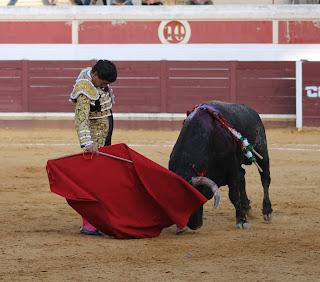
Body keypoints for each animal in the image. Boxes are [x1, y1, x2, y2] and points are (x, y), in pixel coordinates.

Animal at [169, 101, 272, 229]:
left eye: (197, 199)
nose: (194, 225)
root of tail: (252, 111)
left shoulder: (232, 171)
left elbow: (233, 195)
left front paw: (241, 220)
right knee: (243, 177)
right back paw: (246, 208)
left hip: (262, 150)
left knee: (265, 178)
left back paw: (267, 211)